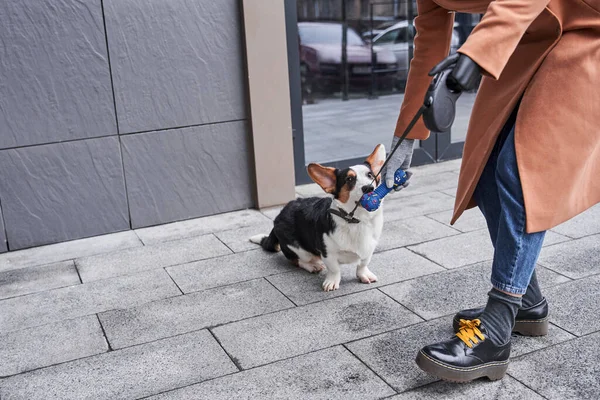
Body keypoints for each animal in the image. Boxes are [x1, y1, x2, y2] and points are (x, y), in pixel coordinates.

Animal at [251, 144, 386, 290]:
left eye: (370, 175)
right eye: (349, 179)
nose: (369, 188)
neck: (356, 220)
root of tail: (279, 216)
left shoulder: (369, 249)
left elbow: (362, 264)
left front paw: (364, 275)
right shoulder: (328, 253)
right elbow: (334, 269)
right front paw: (332, 281)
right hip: (298, 248)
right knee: (298, 260)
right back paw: (313, 266)